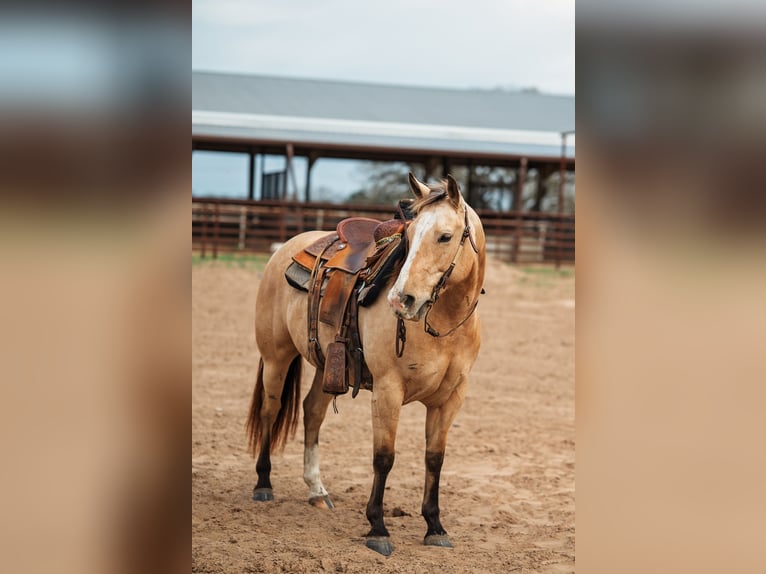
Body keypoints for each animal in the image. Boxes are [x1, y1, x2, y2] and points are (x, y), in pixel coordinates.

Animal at [246, 173, 486, 556]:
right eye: (408, 235)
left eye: (445, 236)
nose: (401, 299)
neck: (443, 323)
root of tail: (287, 247)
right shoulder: (388, 390)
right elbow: (383, 457)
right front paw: (378, 528)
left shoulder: (451, 398)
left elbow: (434, 458)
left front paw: (434, 526)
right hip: (276, 357)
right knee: (271, 409)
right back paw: (263, 484)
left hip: (328, 367)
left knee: (312, 412)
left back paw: (317, 491)